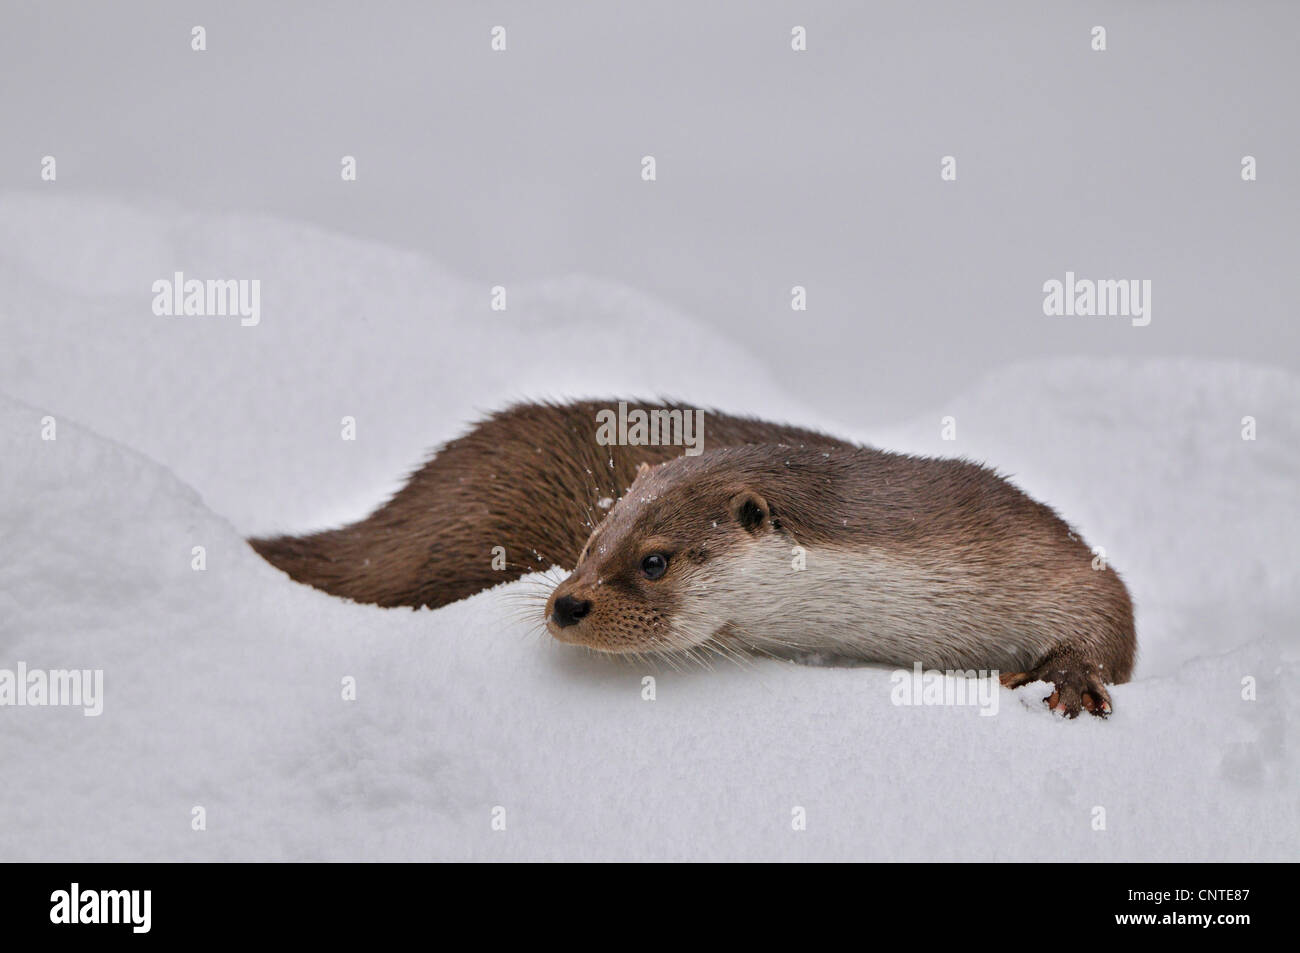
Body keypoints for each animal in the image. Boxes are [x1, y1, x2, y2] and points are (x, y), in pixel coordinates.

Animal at [253, 395, 1138, 712]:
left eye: (655, 560)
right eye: (591, 540)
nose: (566, 600)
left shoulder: (1035, 545)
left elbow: (1113, 619)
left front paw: (1069, 674)